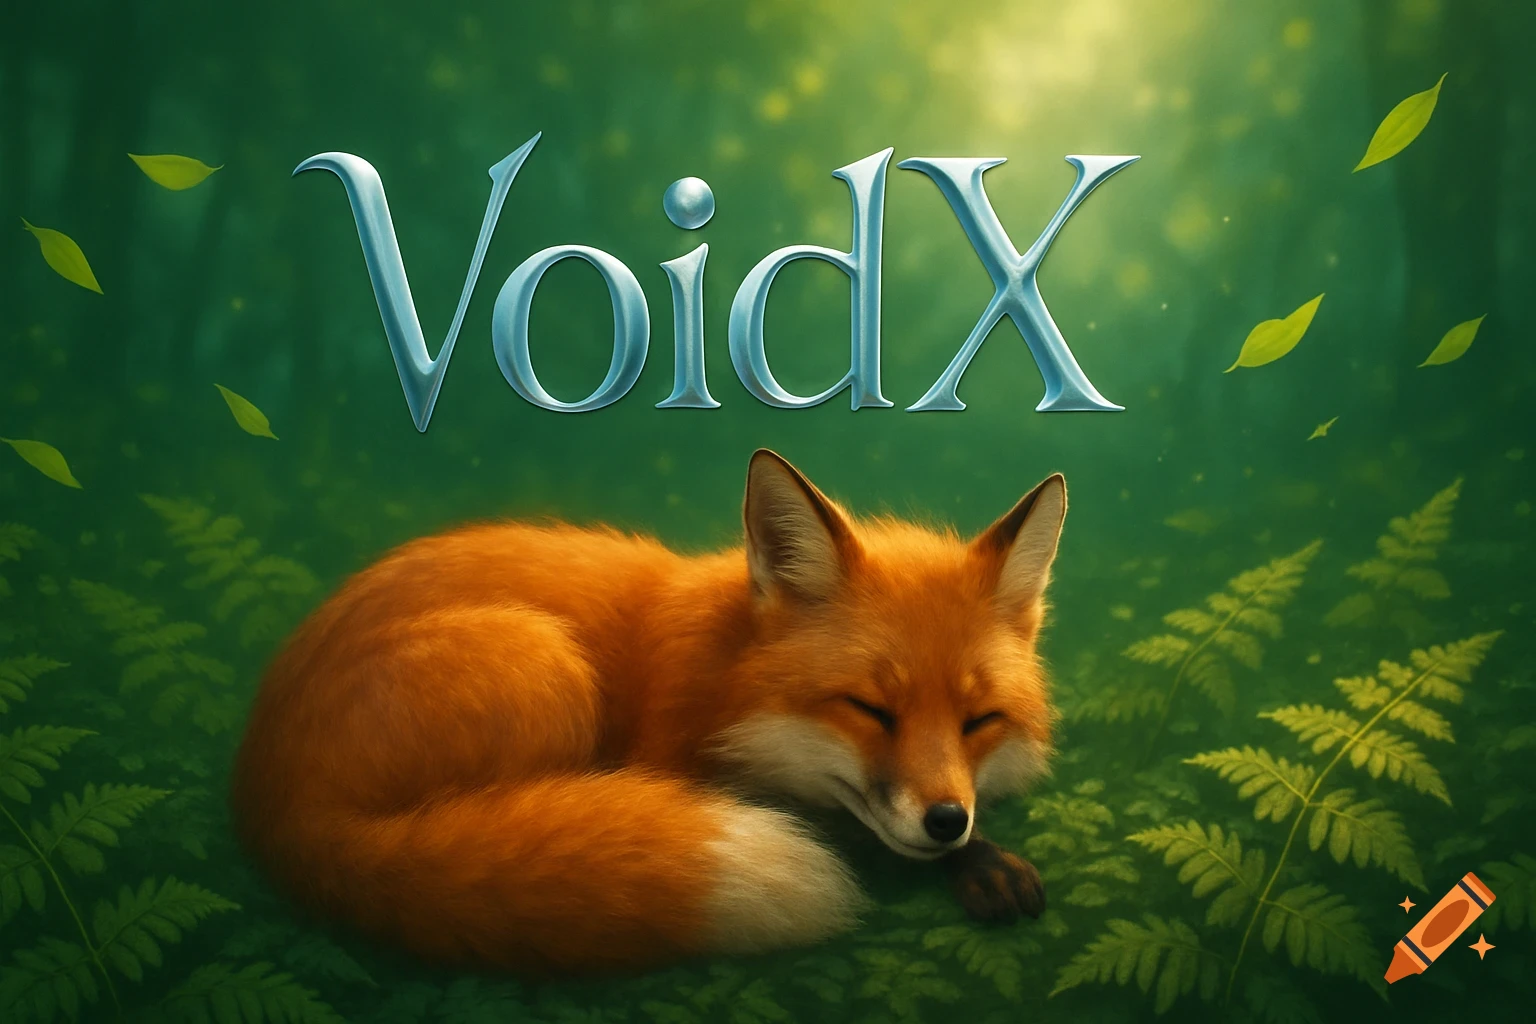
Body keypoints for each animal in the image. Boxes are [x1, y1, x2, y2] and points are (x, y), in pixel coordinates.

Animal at [231, 449, 1067, 975]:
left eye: (979, 721)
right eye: (869, 708)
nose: (947, 822)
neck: (721, 676)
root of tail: (275, 810)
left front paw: (981, 861)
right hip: (547, 664)